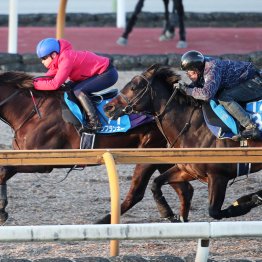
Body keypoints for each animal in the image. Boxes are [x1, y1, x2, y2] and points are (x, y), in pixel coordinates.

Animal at [0, 70, 195, 224]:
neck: (31, 112)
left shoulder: (41, 163)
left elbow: (4, 171)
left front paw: (2, 209)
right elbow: (4, 171)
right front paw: (3, 210)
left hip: (147, 152)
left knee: (136, 193)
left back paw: (103, 221)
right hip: (161, 154)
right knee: (184, 188)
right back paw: (175, 216)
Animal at [104, 64, 262, 220]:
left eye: (134, 86)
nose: (108, 107)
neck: (194, 127)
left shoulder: (218, 176)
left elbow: (214, 211)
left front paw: (249, 200)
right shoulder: (188, 170)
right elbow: (156, 183)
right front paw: (166, 212)